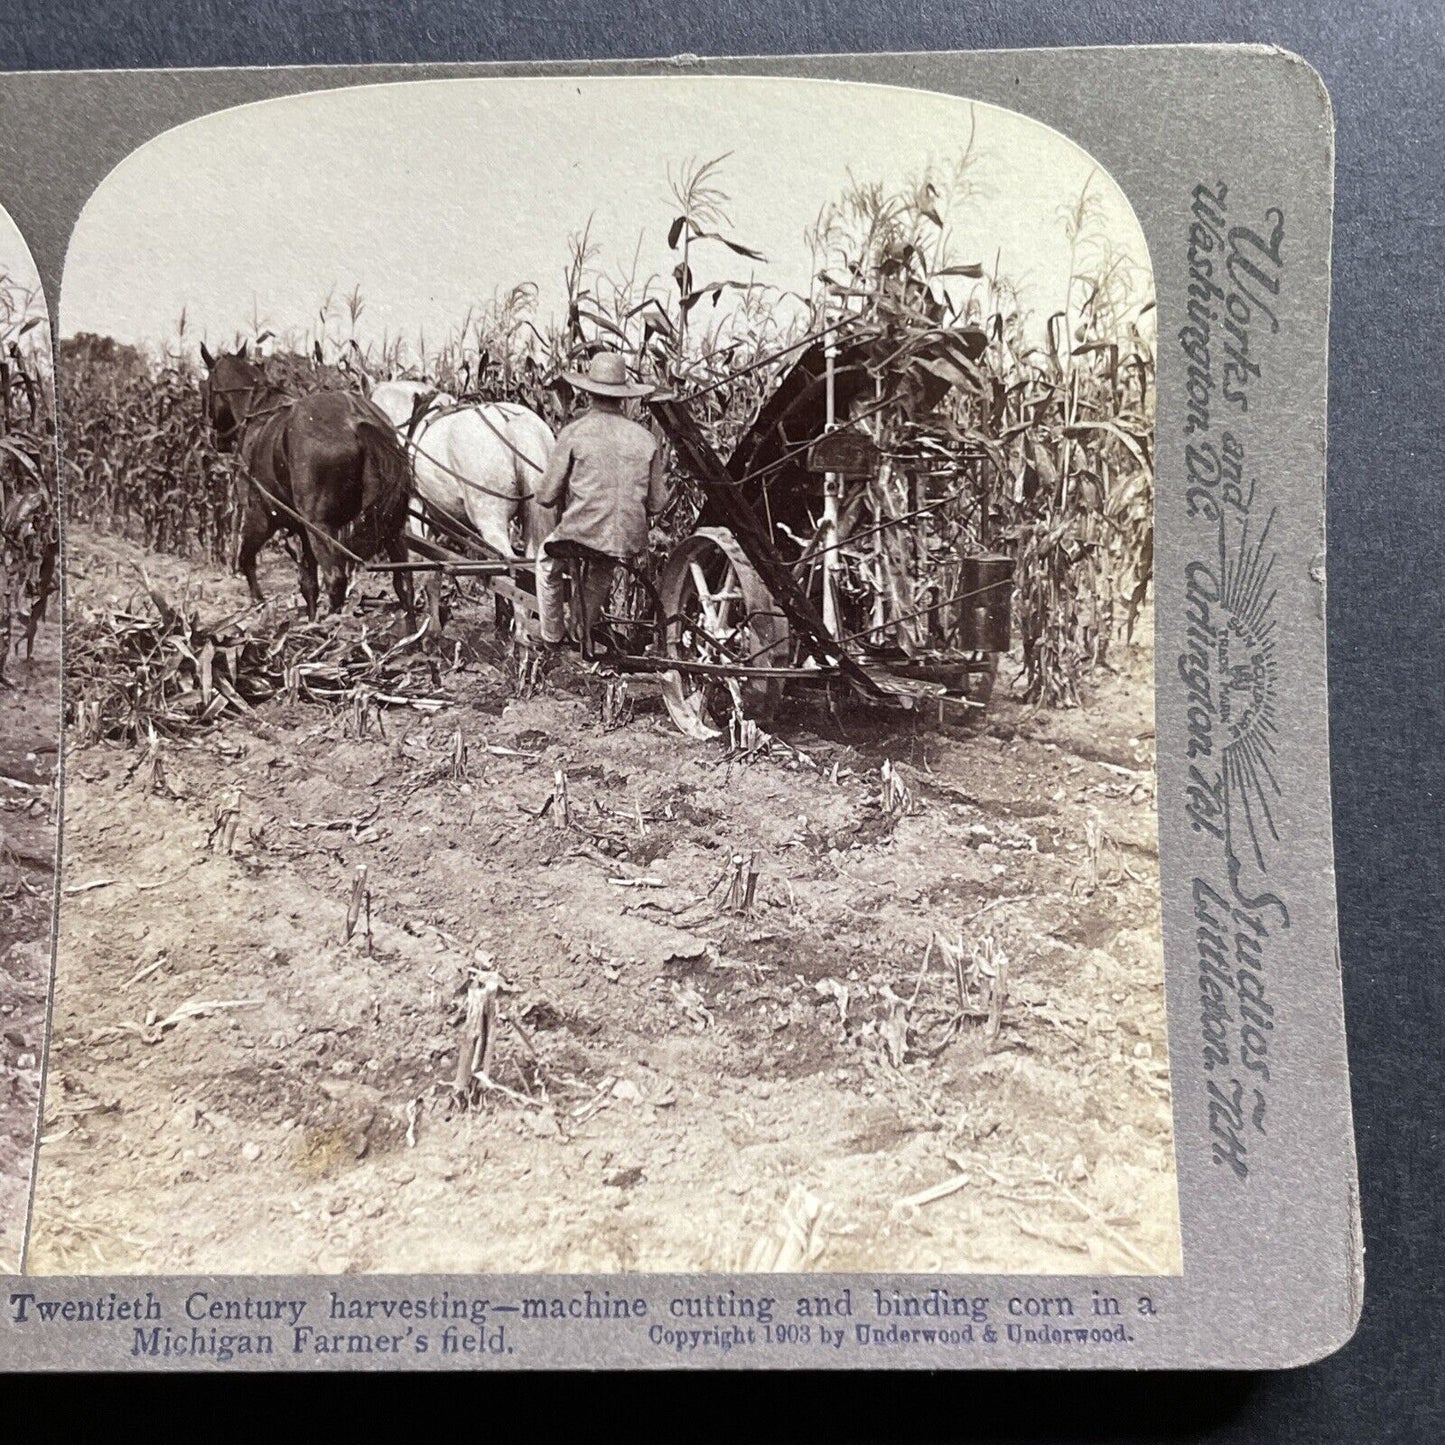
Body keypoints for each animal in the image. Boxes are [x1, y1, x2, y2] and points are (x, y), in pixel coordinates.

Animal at [196, 346, 419, 630]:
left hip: (320, 527)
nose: (215, 440)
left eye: (206, 388)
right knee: (404, 582)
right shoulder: (302, 529)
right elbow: (309, 584)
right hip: (391, 526)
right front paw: (309, 616)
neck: (259, 416)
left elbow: (246, 558)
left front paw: (260, 605)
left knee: (336, 580)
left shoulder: (263, 517)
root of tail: (359, 420)